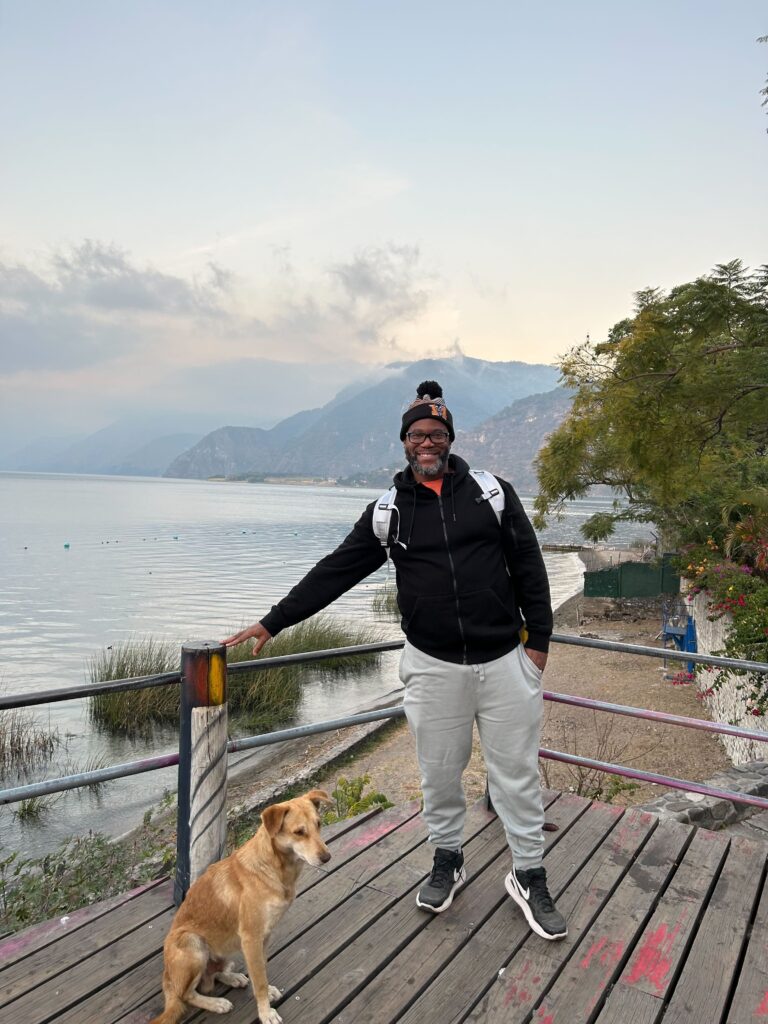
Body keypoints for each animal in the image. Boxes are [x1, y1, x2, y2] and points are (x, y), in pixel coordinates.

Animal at [150, 790, 331, 1024]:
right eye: (299, 832)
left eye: (319, 824)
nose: (327, 857)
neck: (275, 867)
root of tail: (168, 979)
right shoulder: (251, 938)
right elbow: (259, 980)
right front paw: (265, 1013)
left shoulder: (263, 937)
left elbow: (261, 970)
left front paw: (266, 992)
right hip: (192, 943)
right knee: (187, 994)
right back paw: (216, 1003)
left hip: (221, 951)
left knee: (212, 975)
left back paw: (233, 977)